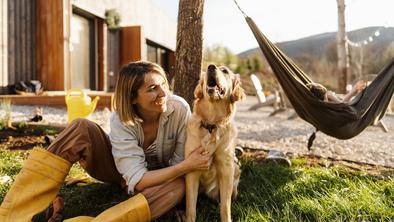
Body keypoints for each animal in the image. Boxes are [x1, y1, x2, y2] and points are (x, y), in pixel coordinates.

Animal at [184, 63, 243, 221]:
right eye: (206, 70)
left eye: (225, 71)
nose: (211, 67)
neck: (211, 124)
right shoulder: (192, 169)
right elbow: (190, 207)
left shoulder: (226, 168)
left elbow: (225, 206)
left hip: (236, 169)